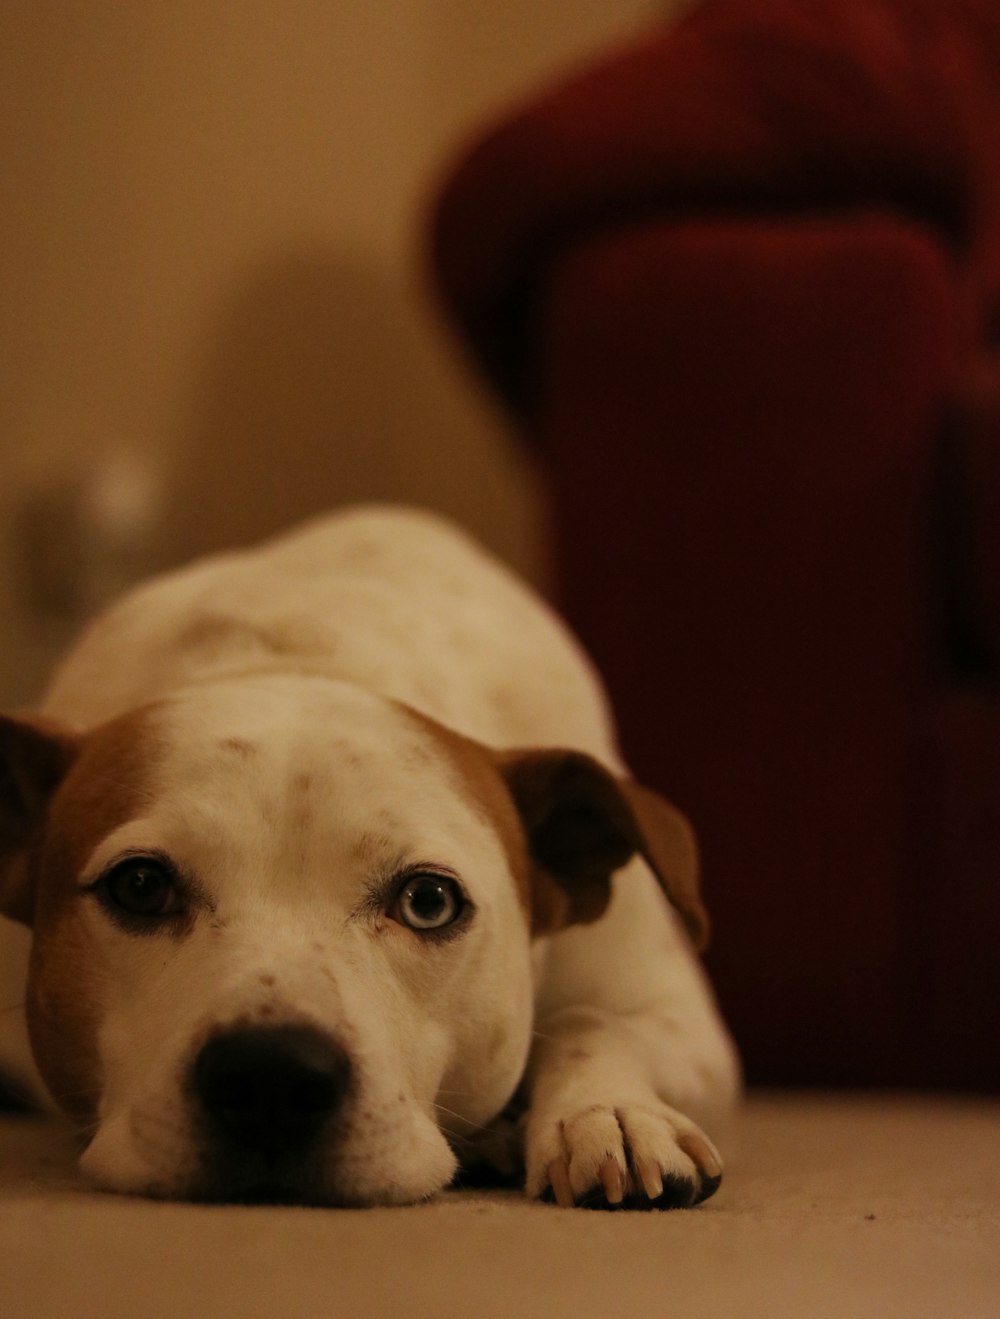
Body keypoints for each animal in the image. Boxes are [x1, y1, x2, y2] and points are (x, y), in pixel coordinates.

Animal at [0, 503, 738, 1208]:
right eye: (141, 886)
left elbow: (591, 1019)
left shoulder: (689, 1031)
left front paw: (609, 1115)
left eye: (429, 901)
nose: (272, 1076)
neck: (302, 658)